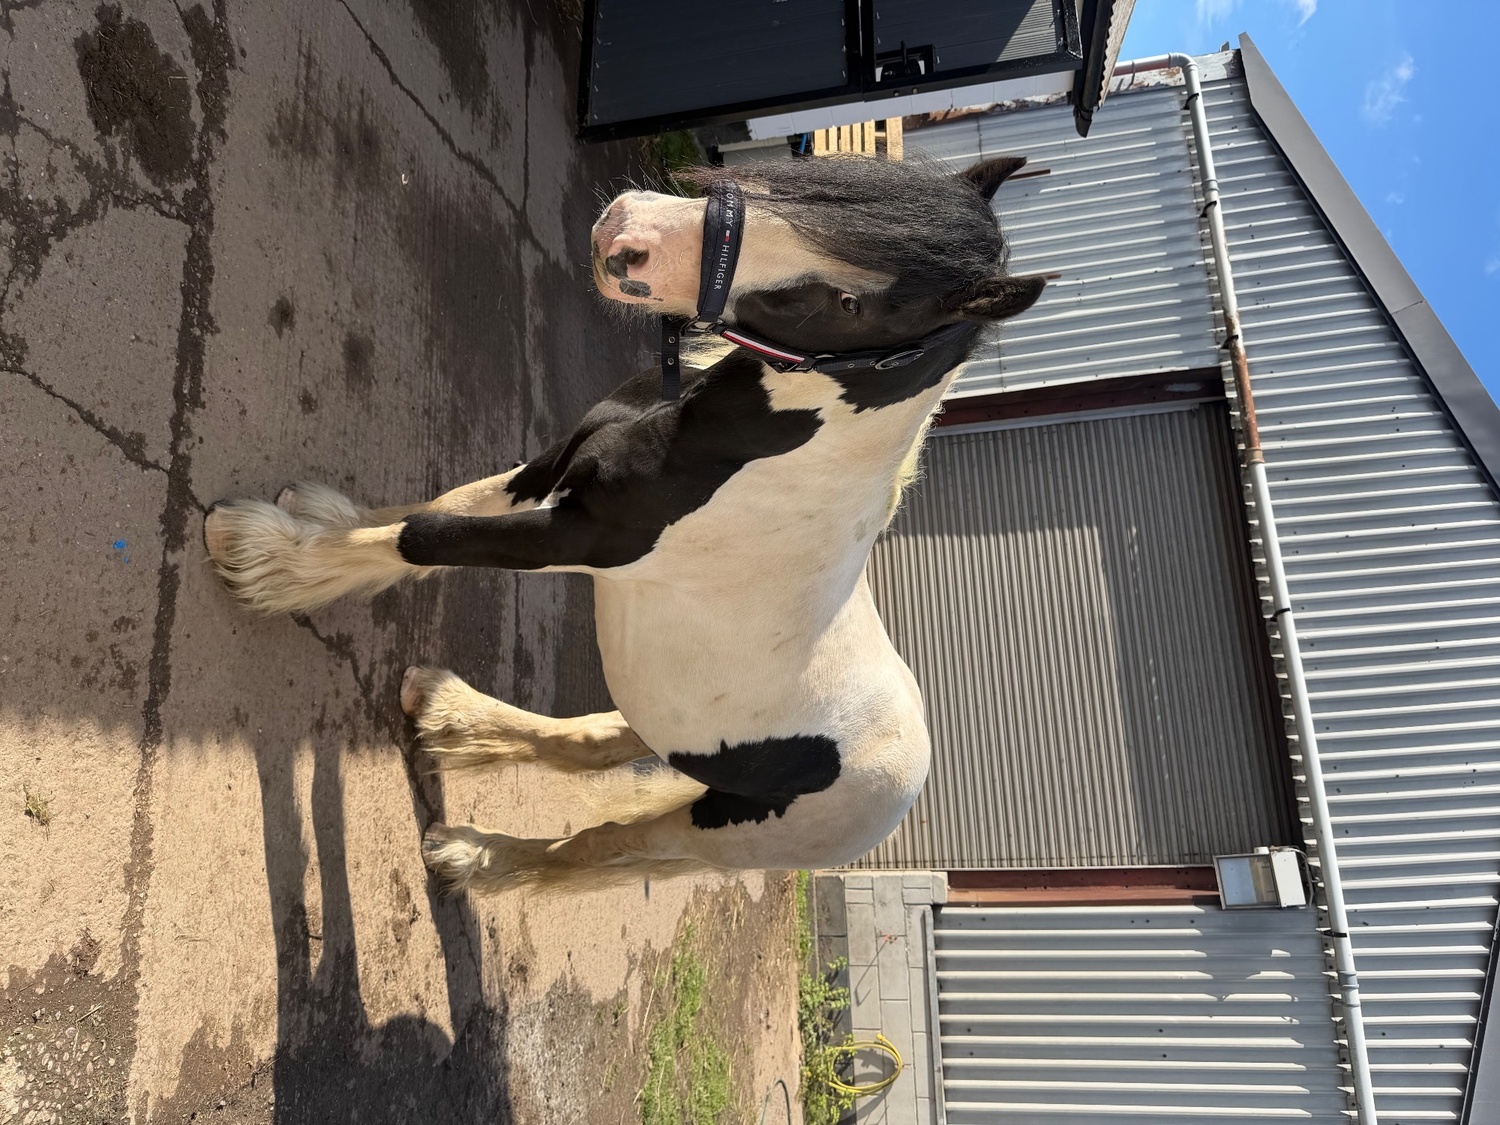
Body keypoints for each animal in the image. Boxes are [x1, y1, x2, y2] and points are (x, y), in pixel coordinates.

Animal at [202, 154, 1045, 891]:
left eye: (852, 303)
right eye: (838, 184)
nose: (627, 235)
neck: (766, 444)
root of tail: (905, 785)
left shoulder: (578, 539)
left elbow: (426, 537)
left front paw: (263, 560)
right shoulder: (556, 466)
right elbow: (445, 507)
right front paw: (314, 528)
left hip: (716, 829)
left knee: (593, 849)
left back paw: (472, 857)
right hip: (671, 732)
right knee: (590, 743)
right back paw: (450, 717)